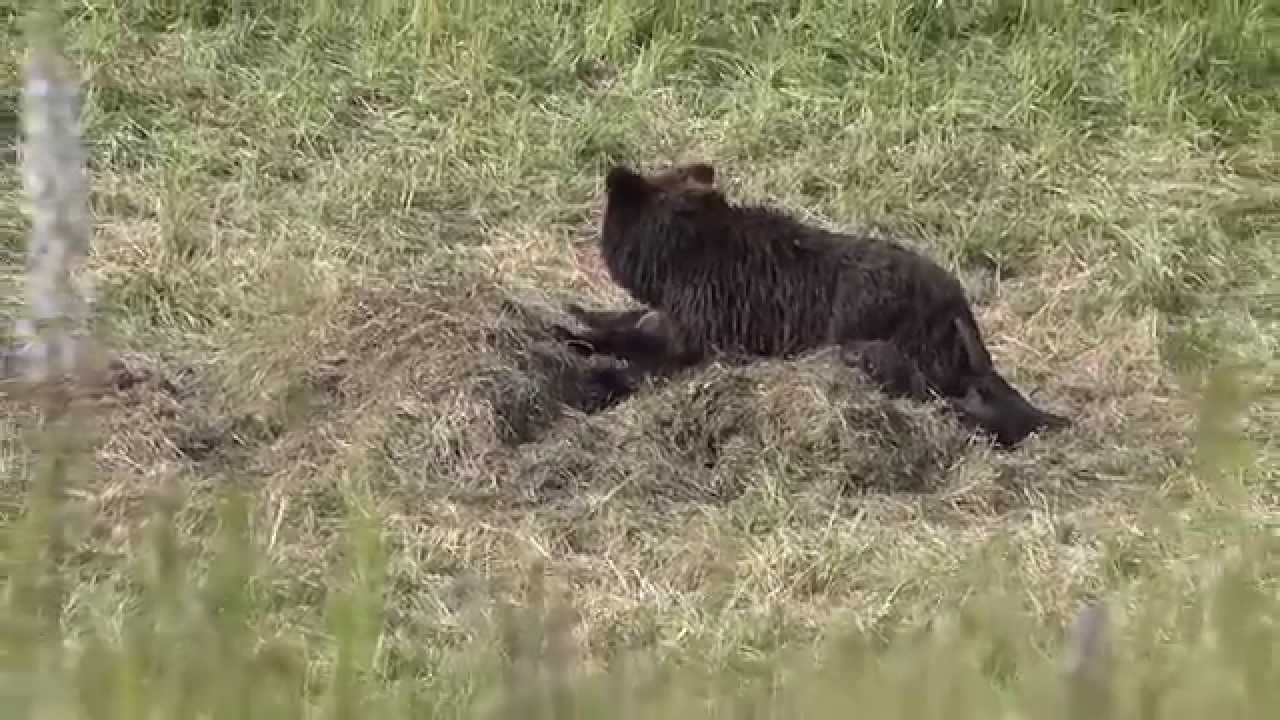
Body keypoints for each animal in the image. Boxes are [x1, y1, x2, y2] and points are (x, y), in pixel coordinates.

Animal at [557, 160, 1071, 448]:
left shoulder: (710, 325)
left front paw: (592, 356)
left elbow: (656, 355)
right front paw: (581, 318)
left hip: (888, 340)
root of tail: (956, 303)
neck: (683, 257)